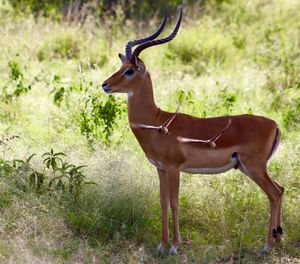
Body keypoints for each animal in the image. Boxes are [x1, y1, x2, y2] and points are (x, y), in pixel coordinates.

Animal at [101, 8, 284, 256]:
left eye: (129, 71)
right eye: (120, 68)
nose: (105, 84)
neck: (156, 121)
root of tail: (274, 123)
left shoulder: (174, 168)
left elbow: (175, 202)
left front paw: (175, 247)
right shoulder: (160, 169)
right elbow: (163, 202)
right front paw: (161, 245)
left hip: (255, 167)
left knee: (274, 194)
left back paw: (266, 246)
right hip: (249, 168)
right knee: (281, 189)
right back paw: (277, 239)